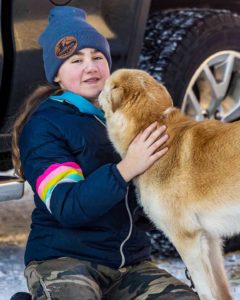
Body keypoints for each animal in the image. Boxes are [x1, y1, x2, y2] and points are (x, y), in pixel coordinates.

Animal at [98, 68, 240, 300]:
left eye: (104, 86)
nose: (97, 90)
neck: (154, 124)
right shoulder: (210, 238)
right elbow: (221, 290)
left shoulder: (187, 239)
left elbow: (204, 290)